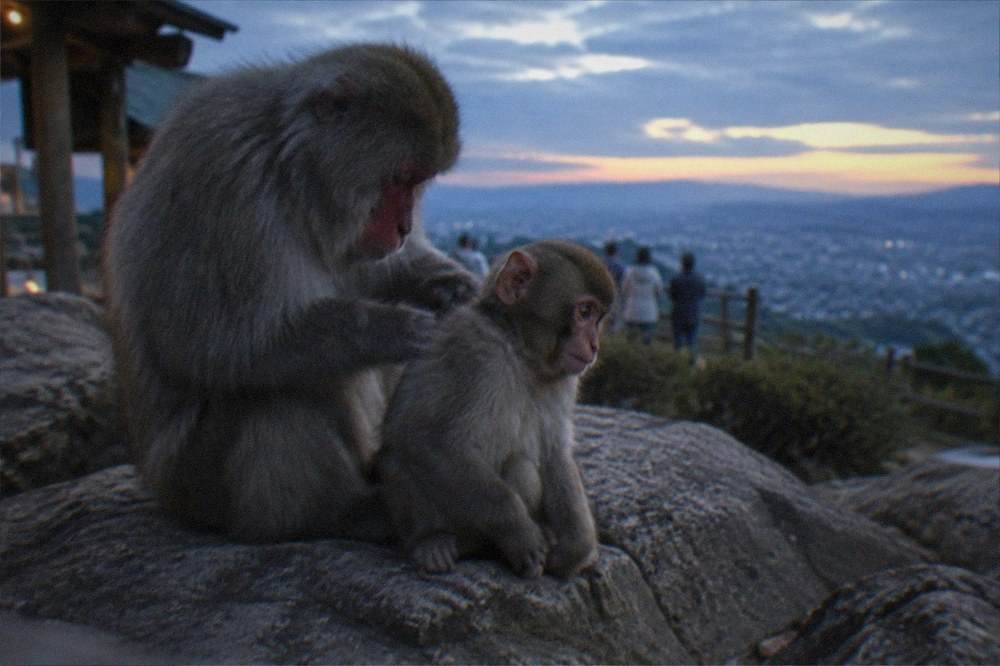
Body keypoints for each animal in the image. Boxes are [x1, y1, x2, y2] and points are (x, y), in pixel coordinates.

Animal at [102, 44, 478, 542]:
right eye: (401, 177)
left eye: (418, 183)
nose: (402, 227)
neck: (290, 169)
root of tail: (160, 489)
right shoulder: (226, 179)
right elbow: (213, 344)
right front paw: (396, 329)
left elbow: (371, 272)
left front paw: (452, 287)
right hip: (198, 483)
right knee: (281, 388)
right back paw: (337, 513)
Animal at [376, 240, 615, 578]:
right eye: (584, 312)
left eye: (597, 318)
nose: (594, 345)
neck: (518, 348)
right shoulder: (473, 347)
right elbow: (428, 437)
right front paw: (520, 533)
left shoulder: (564, 380)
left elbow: (555, 452)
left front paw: (576, 547)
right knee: (397, 460)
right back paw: (431, 541)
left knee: (522, 467)